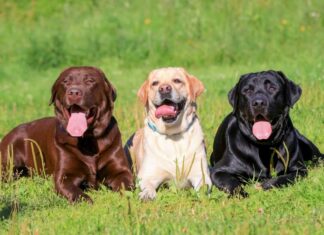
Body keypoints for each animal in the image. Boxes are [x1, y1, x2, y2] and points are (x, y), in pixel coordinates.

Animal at [0, 65, 134, 202]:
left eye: (90, 81)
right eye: (65, 82)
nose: (74, 92)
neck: (87, 140)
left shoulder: (121, 171)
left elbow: (127, 185)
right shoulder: (64, 176)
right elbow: (75, 192)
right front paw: (87, 201)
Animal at [124, 67, 213, 201]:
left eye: (177, 80)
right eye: (155, 83)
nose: (164, 88)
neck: (173, 134)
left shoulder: (200, 172)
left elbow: (203, 186)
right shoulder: (147, 175)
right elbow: (148, 186)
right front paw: (147, 194)